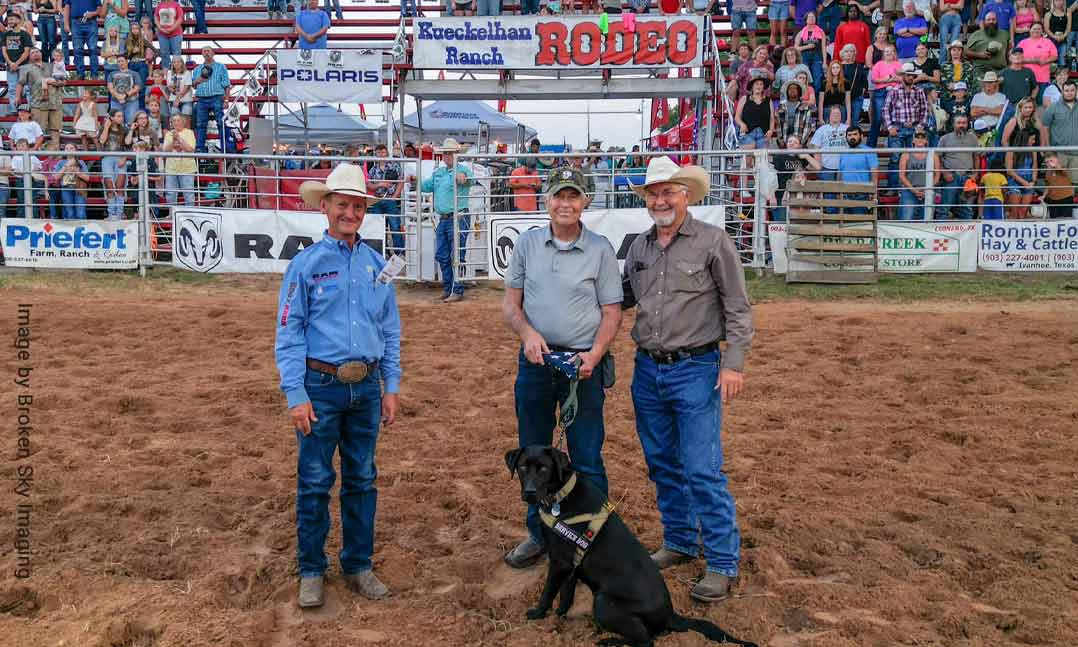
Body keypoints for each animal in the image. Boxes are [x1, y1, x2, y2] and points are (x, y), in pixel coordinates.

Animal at [506, 446, 754, 647]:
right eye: (522, 467)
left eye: (543, 469)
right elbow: (566, 594)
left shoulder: (559, 562)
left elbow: (548, 592)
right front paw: (559, 618)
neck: (561, 496)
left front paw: (538, 614)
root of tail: (670, 615)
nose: (529, 493)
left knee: (646, 641)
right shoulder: (571, 565)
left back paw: (609, 641)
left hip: (603, 602)